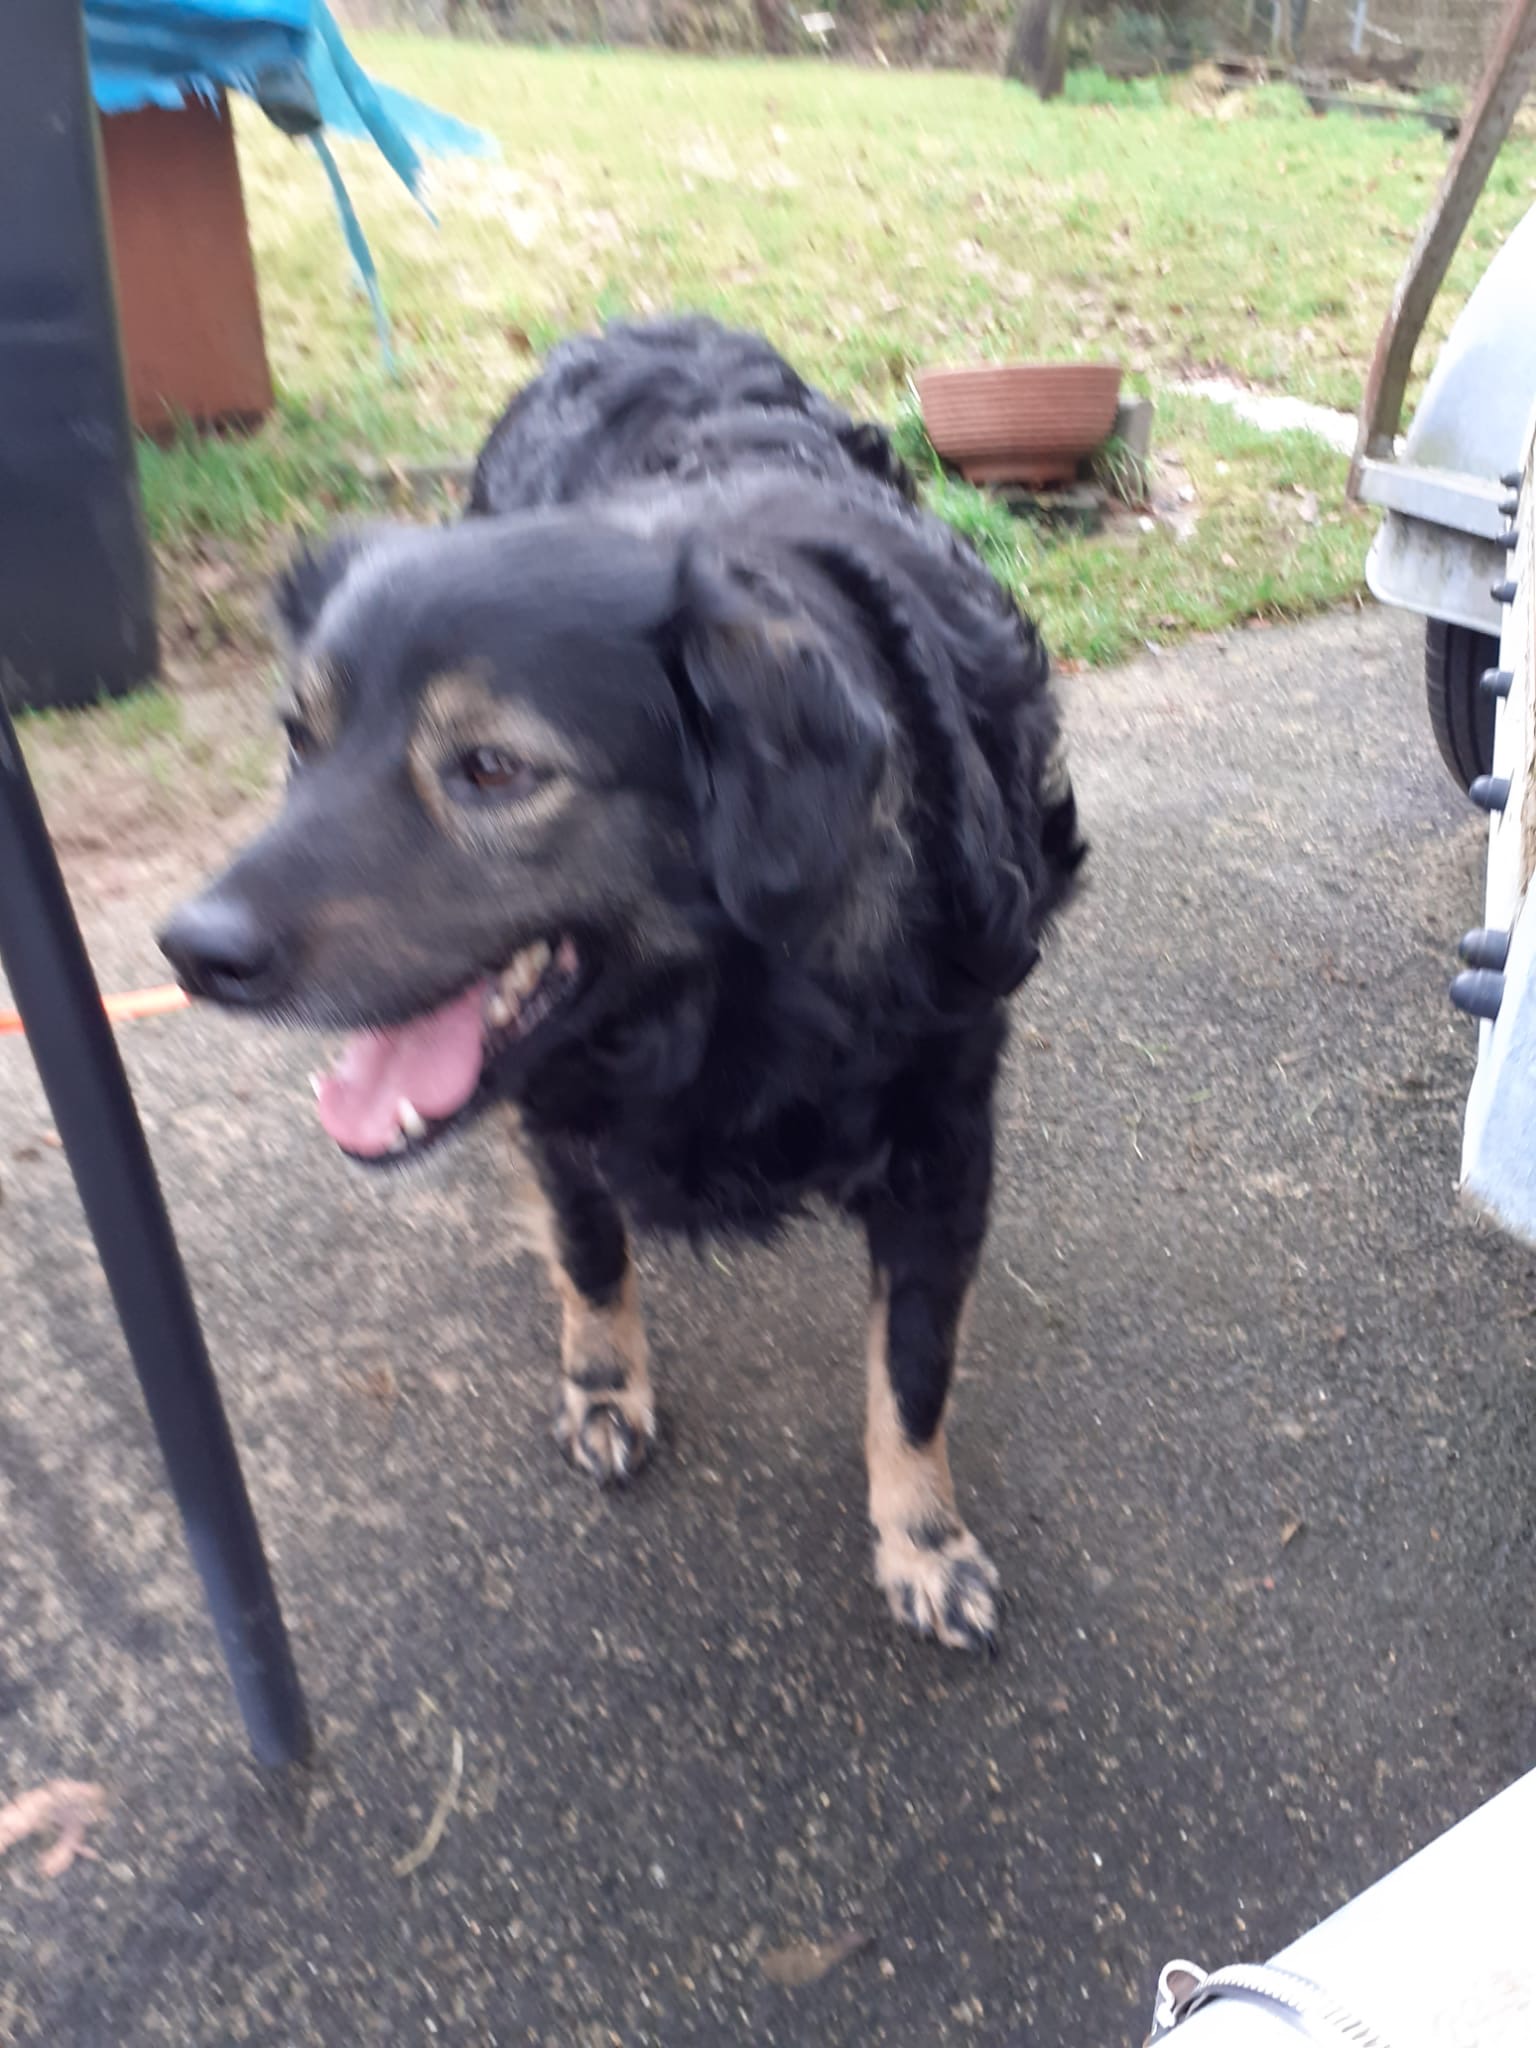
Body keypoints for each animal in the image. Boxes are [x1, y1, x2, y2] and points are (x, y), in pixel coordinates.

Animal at [159, 318, 1084, 1654]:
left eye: (491, 767)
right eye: (300, 737)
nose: (191, 951)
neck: (735, 997)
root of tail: (642, 323)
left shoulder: (944, 1139)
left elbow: (913, 1366)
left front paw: (923, 1537)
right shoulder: (558, 1105)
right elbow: (591, 1246)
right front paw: (604, 1385)